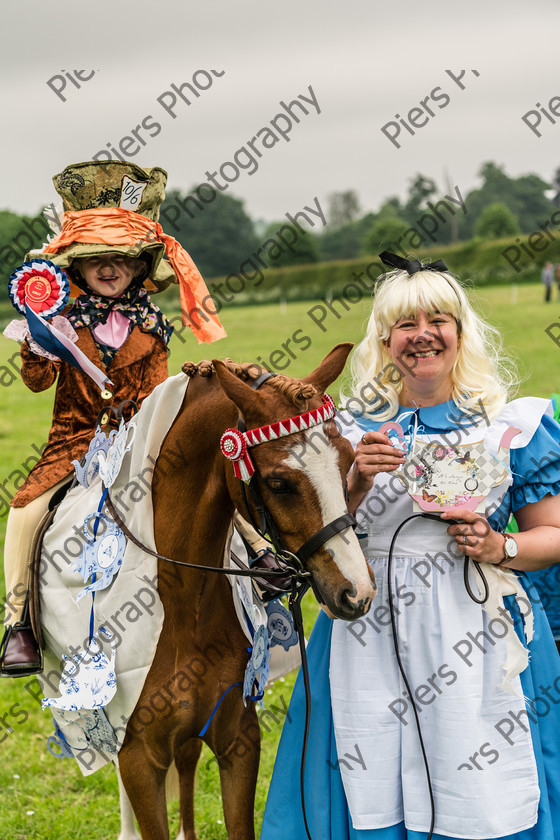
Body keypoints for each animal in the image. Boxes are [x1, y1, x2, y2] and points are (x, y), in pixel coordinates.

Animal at [115, 342, 374, 840]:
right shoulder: (139, 757)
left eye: (348, 458)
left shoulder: (238, 738)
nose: (357, 592)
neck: (183, 604)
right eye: (278, 483)